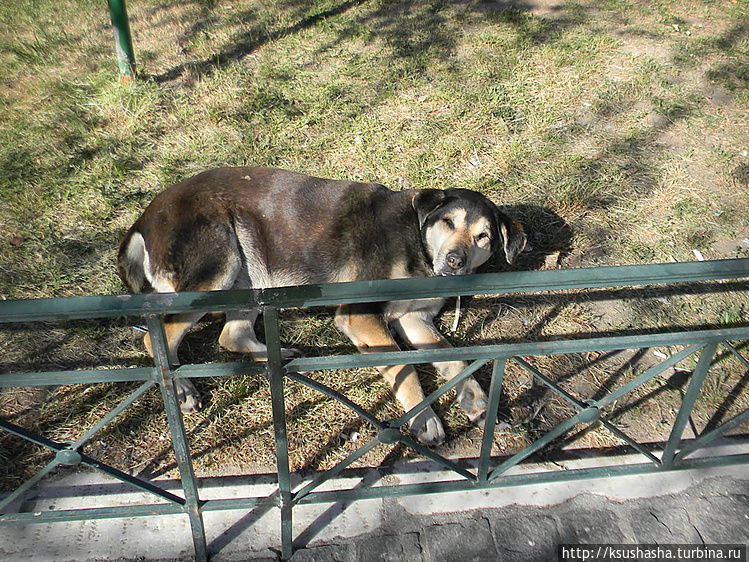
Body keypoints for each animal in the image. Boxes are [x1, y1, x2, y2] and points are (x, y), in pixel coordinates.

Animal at [118, 164, 524, 444]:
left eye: (484, 236)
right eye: (448, 222)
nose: (455, 261)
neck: (418, 239)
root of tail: (143, 218)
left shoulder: (414, 319)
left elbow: (454, 358)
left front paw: (475, 399)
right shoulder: (360, 317)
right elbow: (405, 366)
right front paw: (426, 420)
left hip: (252, 272)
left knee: (230, 335)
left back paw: (280, 356)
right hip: (217, 269)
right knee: (157, 335)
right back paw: (181, 390)